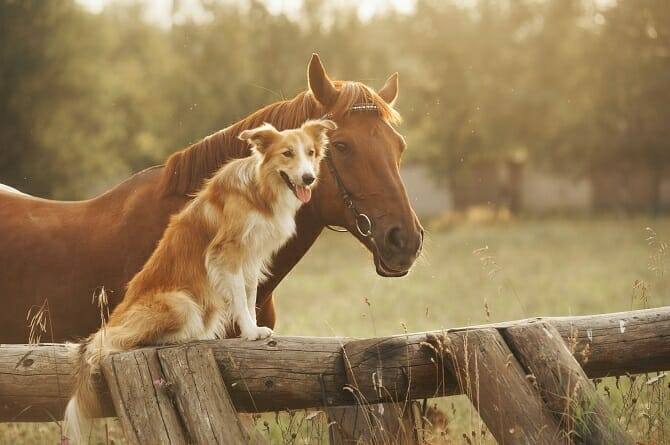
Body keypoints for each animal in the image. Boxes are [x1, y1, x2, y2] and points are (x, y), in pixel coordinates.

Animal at [63, 118, 336, 440]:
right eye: (287, 153)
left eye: (311, 152)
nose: (308, 178)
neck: (260, 190)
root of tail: (112, 322)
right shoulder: (227, 253)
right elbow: (241, 299)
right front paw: (250, 332)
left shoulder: (251, 258)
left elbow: (250, 295)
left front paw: (254, 329)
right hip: (181, 304)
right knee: (123, 341)